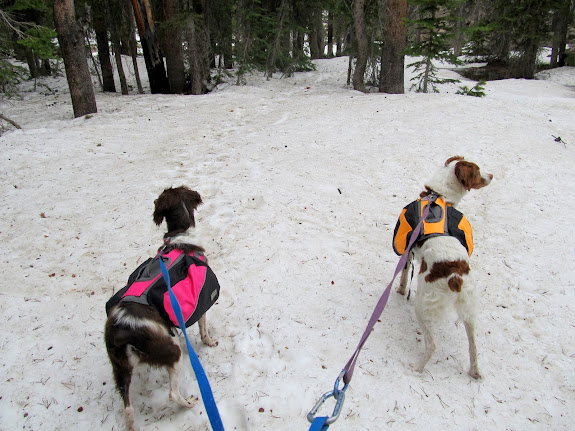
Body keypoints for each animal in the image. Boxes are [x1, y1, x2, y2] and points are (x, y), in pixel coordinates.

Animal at [104, 187, 217, 431]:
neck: (180, 235)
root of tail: (123, 330)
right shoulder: (201, 299)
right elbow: (203, 326)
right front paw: (209, 342)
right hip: (171, 351)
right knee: (172, 394)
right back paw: (189, 402)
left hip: (120, 368)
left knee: (128, 409)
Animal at [396, 157, 496, 380]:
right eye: (478, 170)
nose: (492, 175)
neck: (439, 195)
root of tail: (455, 275)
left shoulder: (407, 249)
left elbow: (404, 275)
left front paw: (399, 291)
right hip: (469, 308)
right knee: (473, 346)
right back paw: (474, 372)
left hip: (423, 306)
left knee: (432, 345)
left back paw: (416, 368)